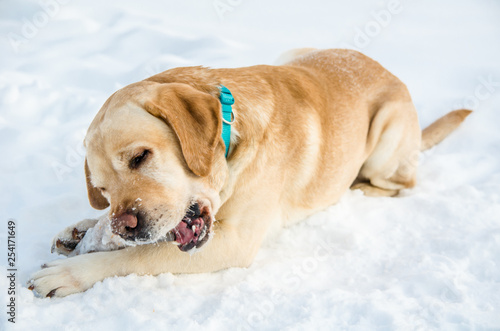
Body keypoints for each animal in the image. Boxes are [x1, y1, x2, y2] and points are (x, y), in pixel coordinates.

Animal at [30, 48, 468, 298]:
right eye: (103, 190)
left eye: (140, 157)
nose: (125, 225)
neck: (231, 134)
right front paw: (84, 230)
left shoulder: (233, 242)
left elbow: (138, 257)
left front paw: (71, 272)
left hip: (387, 134)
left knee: (398, 184)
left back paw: (358, 188)